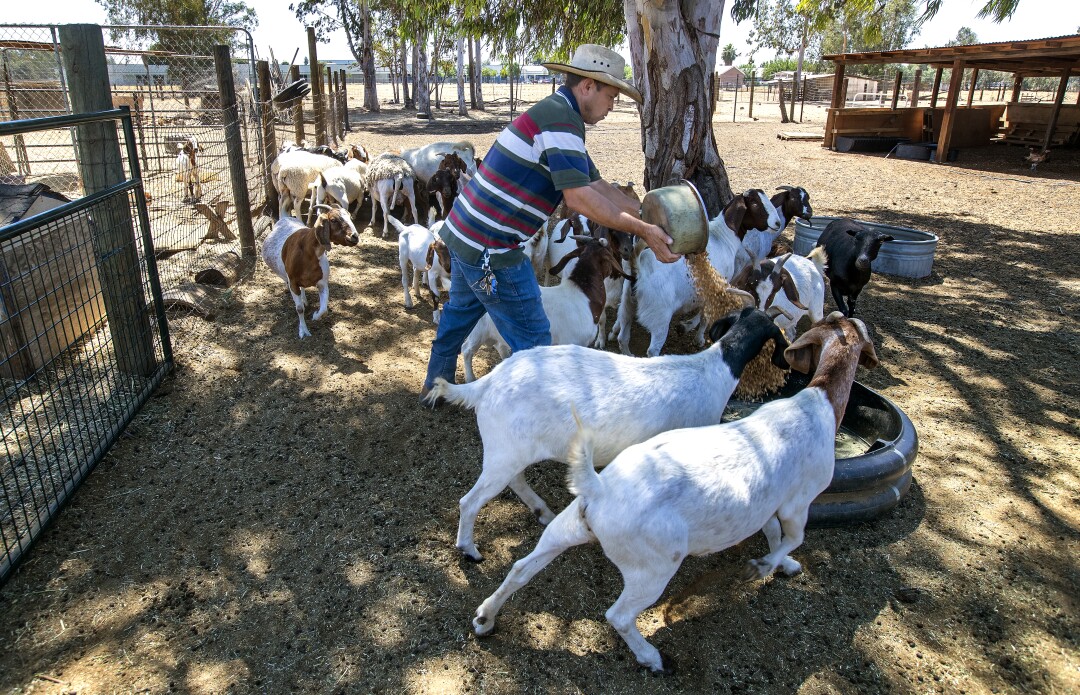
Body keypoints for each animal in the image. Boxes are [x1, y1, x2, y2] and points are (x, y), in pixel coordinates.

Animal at [421, 302, 786, 561]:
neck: (711, 370)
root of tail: (486, 384)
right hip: (505, 450)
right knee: (470, 501)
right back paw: (470, 550)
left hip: (510, 449)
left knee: (515, 481)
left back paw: (543, 512)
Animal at [457, 236, 630, 382]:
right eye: (610, 253)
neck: (583, 294)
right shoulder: (572, 342)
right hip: (478, 331)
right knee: (466, 349)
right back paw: (470, 378)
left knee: (498, 345)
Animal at [477, 312, 881, 673]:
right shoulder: (797, 500)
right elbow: (791, 535)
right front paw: (764, 566)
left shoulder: (768, 500)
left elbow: (771, 530)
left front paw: (785, 565)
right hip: (651, 562)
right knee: (616, 613)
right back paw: (652, 658)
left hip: (559, 518)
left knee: (522, 563)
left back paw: (486, 615)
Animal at [613, 187, 781, 356]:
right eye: (754, 203)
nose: (777, 223)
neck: (723, 237)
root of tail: (639, 267)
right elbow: (705, 317)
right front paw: (699, 338)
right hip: (659, 315)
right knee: (652, 350)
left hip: (627, 303)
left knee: (622, 338)